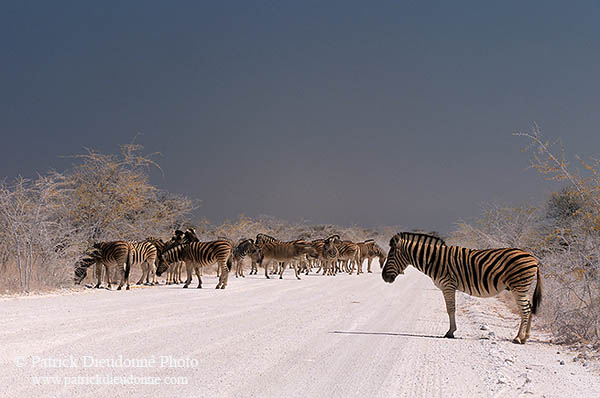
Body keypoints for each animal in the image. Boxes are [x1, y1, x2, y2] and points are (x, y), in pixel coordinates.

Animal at [384, 232, 544, 344]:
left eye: (391, 255)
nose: (384, 277)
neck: (433, 260)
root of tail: (534, 258)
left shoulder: (447, 285)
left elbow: (450, 309)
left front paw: (450, 332)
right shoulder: (448, 286)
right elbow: (451, 309)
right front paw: (451, 331)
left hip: (518, 286)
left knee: (525, 310)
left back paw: (518, 338)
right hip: (522, 288)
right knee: (529, 308)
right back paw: (525, 337)